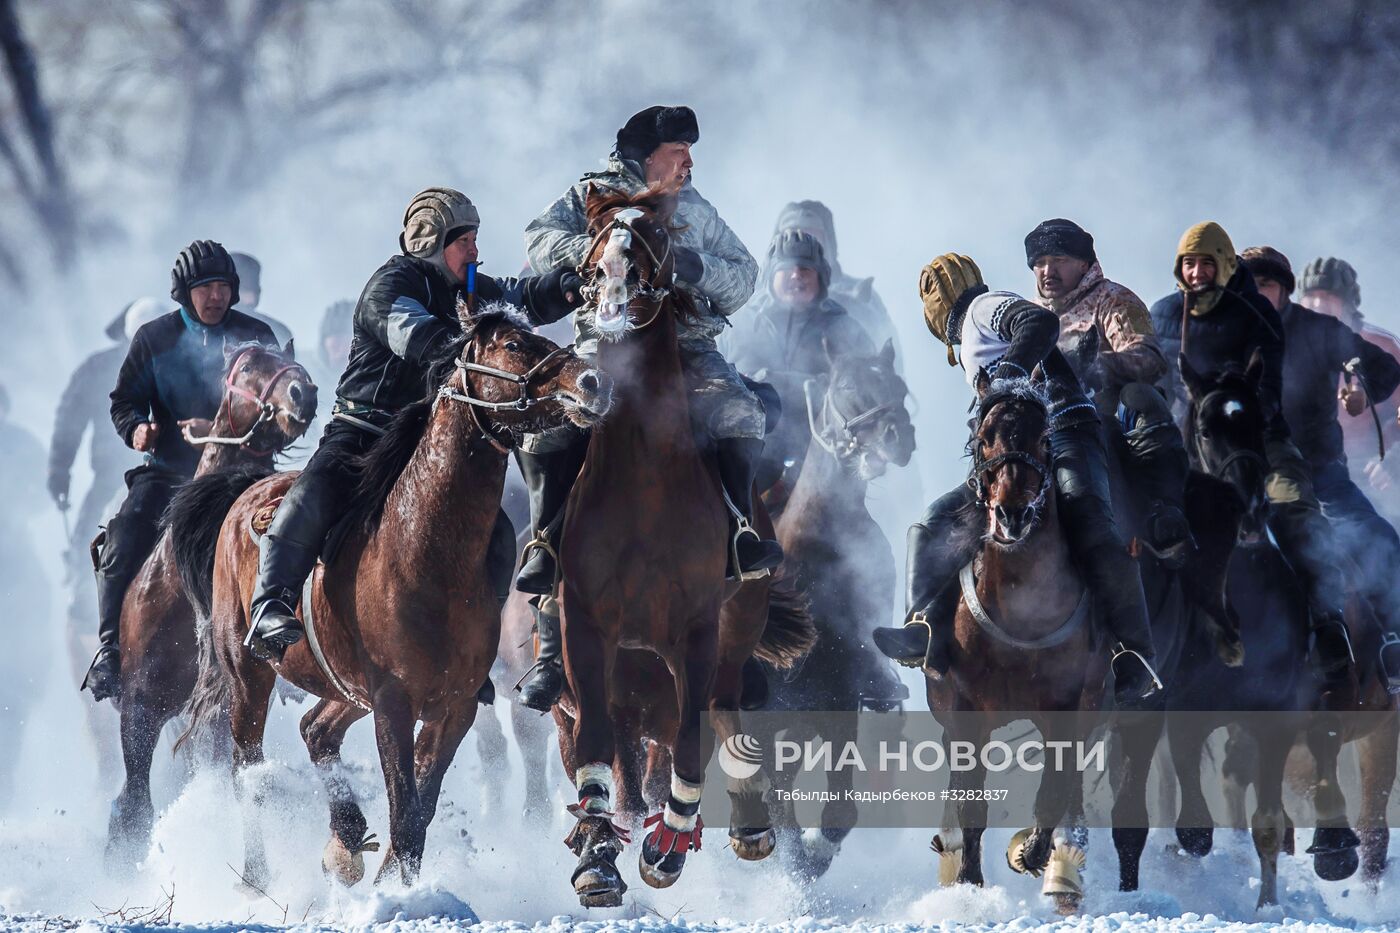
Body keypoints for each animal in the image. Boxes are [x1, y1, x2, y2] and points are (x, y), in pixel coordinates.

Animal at [104, 337, 315, 868]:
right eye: (247, 365)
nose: (303, 393)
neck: (178, 592)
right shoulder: (139, 708)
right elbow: (134, 804)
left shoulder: (222, 709)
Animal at [172, 306, 610, 885]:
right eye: (515, 344)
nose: (592, 382)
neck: (425, 552)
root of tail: (243, 495)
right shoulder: (393, 703)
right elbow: (404, 811)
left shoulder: (453, 708)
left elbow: (417, 816)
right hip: (249, 675)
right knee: (248, 768)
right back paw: (258, 877)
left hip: (344, 689)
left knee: (317, 731)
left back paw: (346, 838)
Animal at [546, 184, 812, 902]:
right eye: (591, 257)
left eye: (654, 244)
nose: (612, 303)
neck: (644, 480)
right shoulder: (587, 626)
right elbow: (596, 743)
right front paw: (596, 856)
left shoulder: (693, 628)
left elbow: (694, 733)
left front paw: (667, 845)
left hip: (737, 624)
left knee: (719, 709)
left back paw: (743, 822)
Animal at [767, 337, 918, 874]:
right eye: (848, 385)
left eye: (899, 386)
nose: (898, 437)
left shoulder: (840, 703)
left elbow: (838, 811)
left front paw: (816, 851)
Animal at [924, 367, 1108, 913]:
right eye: (984, 437)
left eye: (1045, 439)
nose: (1012, 515)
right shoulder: (964, 710)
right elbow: (972, 803)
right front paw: (968, 882)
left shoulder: (1070, 706)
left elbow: (1056, 787)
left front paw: (1031, 852)